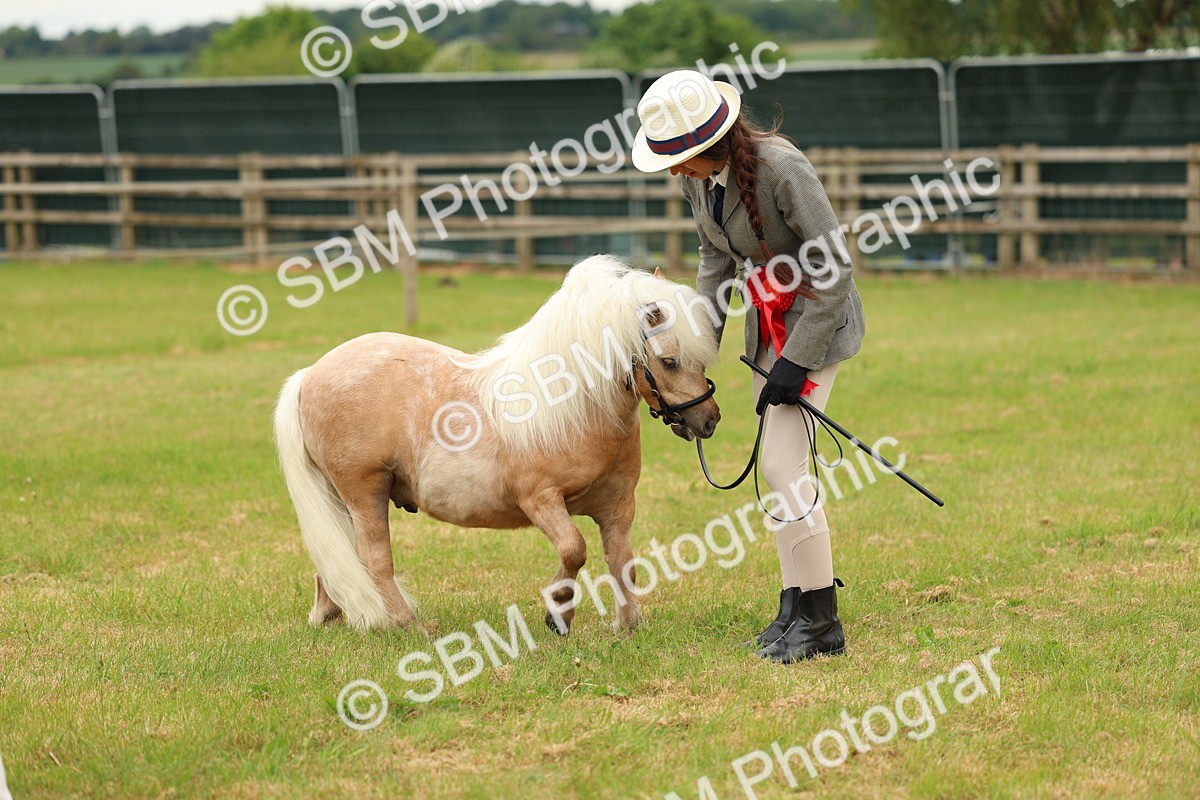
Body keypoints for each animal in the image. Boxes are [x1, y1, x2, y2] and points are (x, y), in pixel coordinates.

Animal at [273, 255, 722, 633]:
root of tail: (310, 374)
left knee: (336, 554)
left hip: (343, 498)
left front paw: (628, 626)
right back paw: (409, 626)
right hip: (365, 489)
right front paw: (558, 613)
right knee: (373, 558)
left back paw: (330, 614)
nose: (709, 420)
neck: (573, 409)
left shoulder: (618, 508)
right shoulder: (540, 500)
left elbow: (622, 564)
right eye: (669, 362)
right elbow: (574, 550)